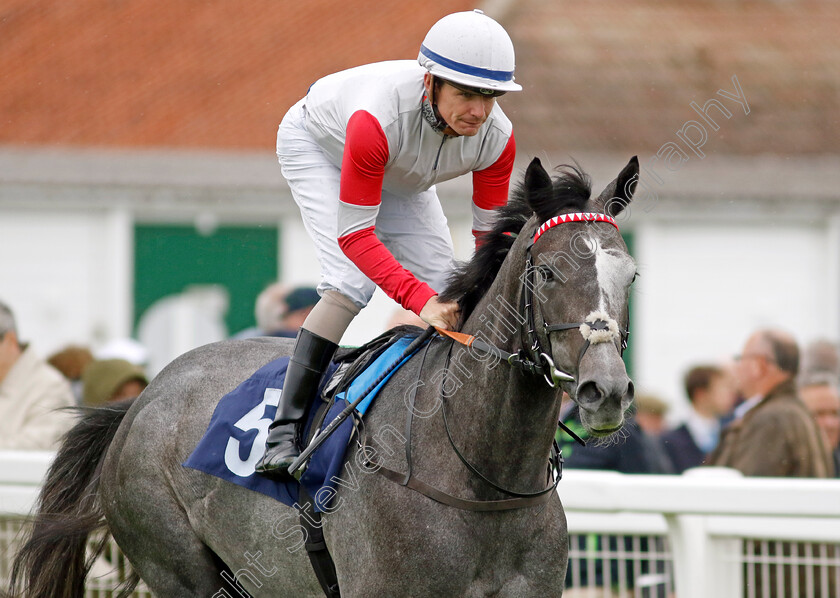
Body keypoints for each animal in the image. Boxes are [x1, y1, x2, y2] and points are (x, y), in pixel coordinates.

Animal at [9, 156, 636, 598]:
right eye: (548, 271)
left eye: (629, 274)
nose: (605, 390)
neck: (482, 478)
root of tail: (141, 400)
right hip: (176, 562)